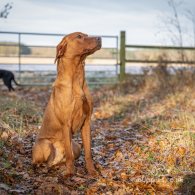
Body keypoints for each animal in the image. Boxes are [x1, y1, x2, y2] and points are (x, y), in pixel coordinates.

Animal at [31, 31, 102, 176]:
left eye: (87, 35)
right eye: (79, 36)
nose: (100, 38)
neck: (76, 77)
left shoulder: (87, 122)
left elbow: (88, 152)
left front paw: (91, 171)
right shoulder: (66, 123)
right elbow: (69, 154)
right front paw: (70, 173)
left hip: (76, 146)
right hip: (45, 144)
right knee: (37, 162)